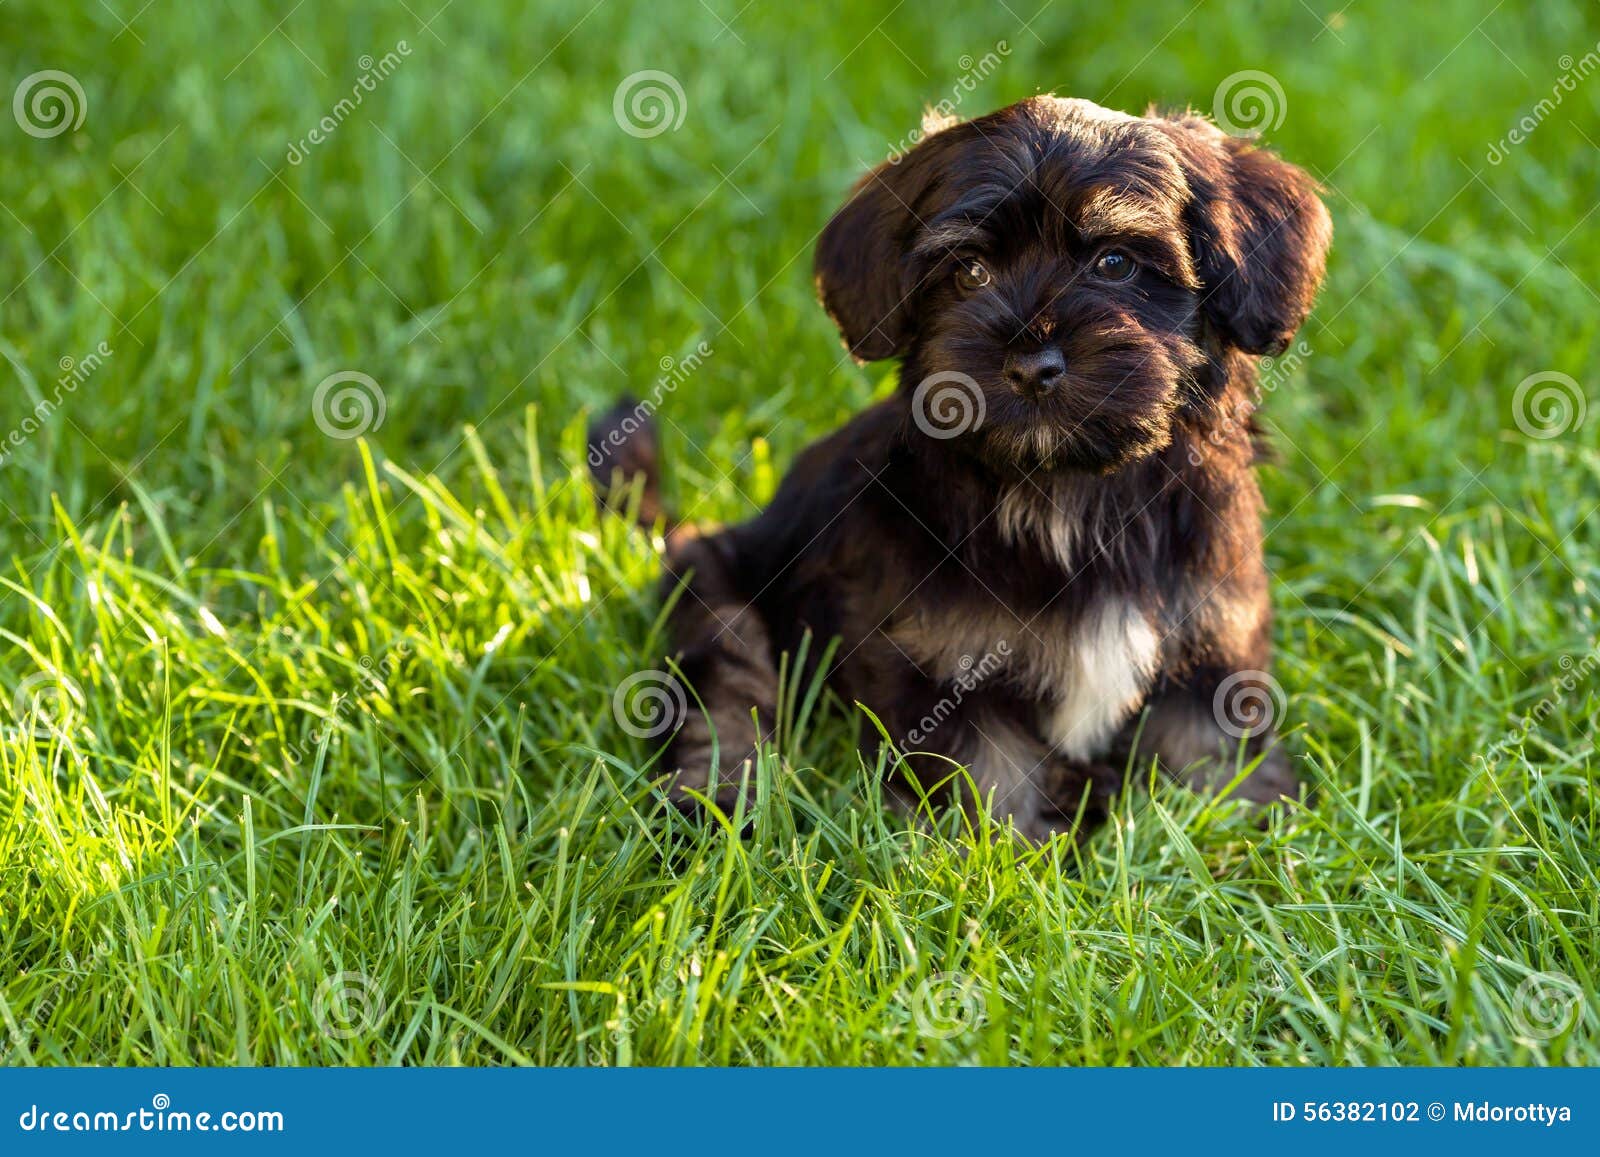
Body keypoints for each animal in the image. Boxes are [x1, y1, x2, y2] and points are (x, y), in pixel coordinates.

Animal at [595, 97, 1331, 844]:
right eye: (971, 272)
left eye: (1115, 262)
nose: (1032, 364)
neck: (1070, 489)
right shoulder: (944, 659)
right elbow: (988, 775)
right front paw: (1000, 855)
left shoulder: (1209, 639)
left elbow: (1206, 752)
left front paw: (1238, 835)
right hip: (717, 592)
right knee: (724, 698)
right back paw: (714, 802)